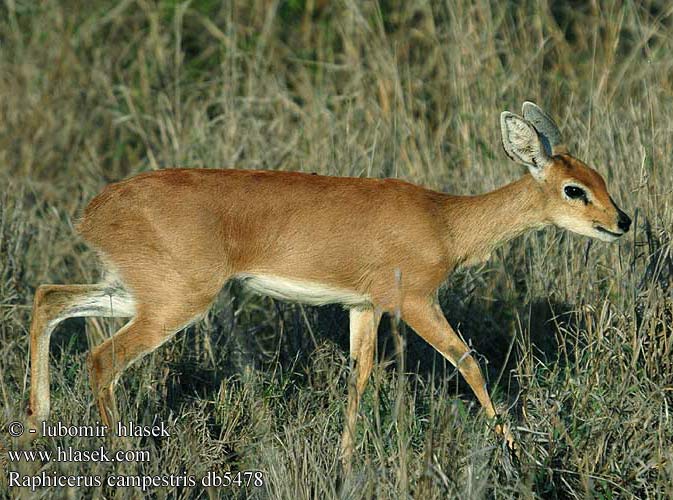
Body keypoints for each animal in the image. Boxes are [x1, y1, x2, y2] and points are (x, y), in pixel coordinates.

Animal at [22, 100, 632, 464]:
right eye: (574, 189)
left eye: (601, 177)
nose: (623, 221)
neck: (445, 221)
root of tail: (95, 211)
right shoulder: (414, 301)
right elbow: (469, 361)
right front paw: (514, 449)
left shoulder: (362, 307)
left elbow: (358, 375)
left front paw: (342, 456)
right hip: (176, 300)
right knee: (101, 356)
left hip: (135, 291)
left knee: (48, 299)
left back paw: (36, 424)